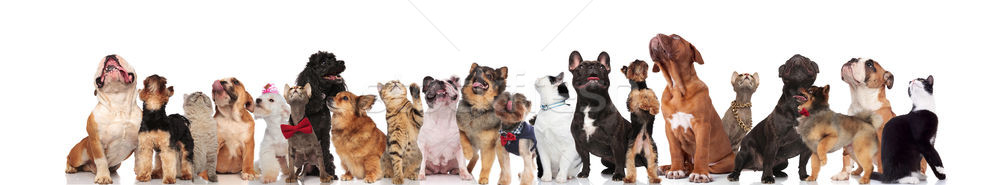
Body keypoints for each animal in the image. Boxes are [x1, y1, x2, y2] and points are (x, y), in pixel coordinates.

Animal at [65, 54, 142, 184]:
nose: (110, 55)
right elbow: (101, 161)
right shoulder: (96, 141)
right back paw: (70, 168)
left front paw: (143, 174)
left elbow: (141, 159)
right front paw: (103, 177)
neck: (118, 103)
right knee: (69, 158)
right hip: (79, 155)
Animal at [648, 34, 736, 183]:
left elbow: (701, 151)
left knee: (701, 165)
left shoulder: (702, 125)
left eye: (676, 37)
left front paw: (700, 173)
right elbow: (675, 151)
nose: (655, 35)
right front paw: (675, 170)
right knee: (687, 161)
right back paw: (667, 167)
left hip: (727, 162)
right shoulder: (669, 127)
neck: (677, 87)